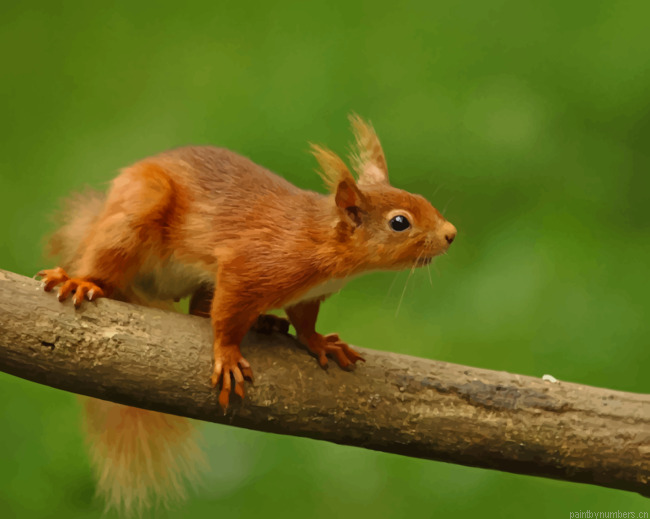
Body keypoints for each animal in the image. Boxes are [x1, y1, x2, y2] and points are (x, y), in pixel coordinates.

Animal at [37, 115, 457, 513]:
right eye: (400, 222)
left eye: (421, 198)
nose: (451, 234)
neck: (323, 241)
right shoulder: (248, 268)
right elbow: (227, 317)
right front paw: (227, 356)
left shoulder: (308, 294)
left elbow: (304, 321)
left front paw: (320, 343)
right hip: (137, 211)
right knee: (109, 260)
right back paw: (80, 280)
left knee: (198, 309)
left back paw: (265, 322)